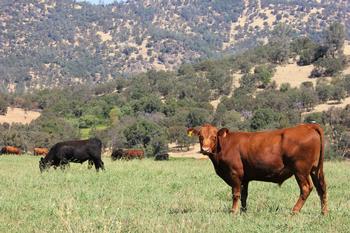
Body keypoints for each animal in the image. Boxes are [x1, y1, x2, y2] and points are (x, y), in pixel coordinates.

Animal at [189, 124, 328, 215]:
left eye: (214, 137)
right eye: (200, 136)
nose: (205, 149)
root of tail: (308, 126)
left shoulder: (235, 174)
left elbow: (236, 194)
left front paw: (233, 211)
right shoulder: (245, 178)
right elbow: (244, 195)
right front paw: (243, 211)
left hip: (301, 170)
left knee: (306, 188)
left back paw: (294, 211)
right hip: (316, 170)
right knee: (322, 188)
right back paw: (324, 212)